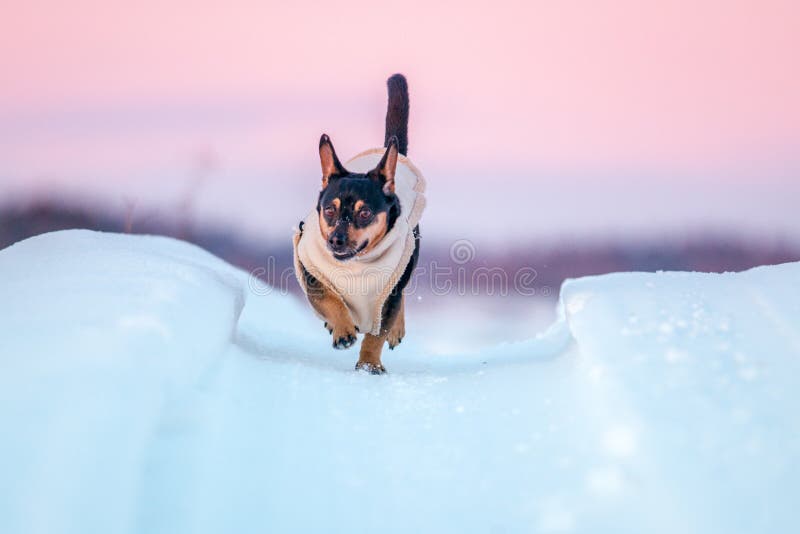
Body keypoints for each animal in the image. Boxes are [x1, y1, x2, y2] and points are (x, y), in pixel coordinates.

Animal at [292, 74, 424, 376]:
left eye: (364, 213)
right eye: (329, 210)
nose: (336, 240)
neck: (356, 266)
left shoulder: (388, 294)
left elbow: (377, 332)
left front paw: (368, 365)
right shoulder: (311, 273)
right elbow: (329, 298)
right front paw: (342, 329)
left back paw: (396, 330)